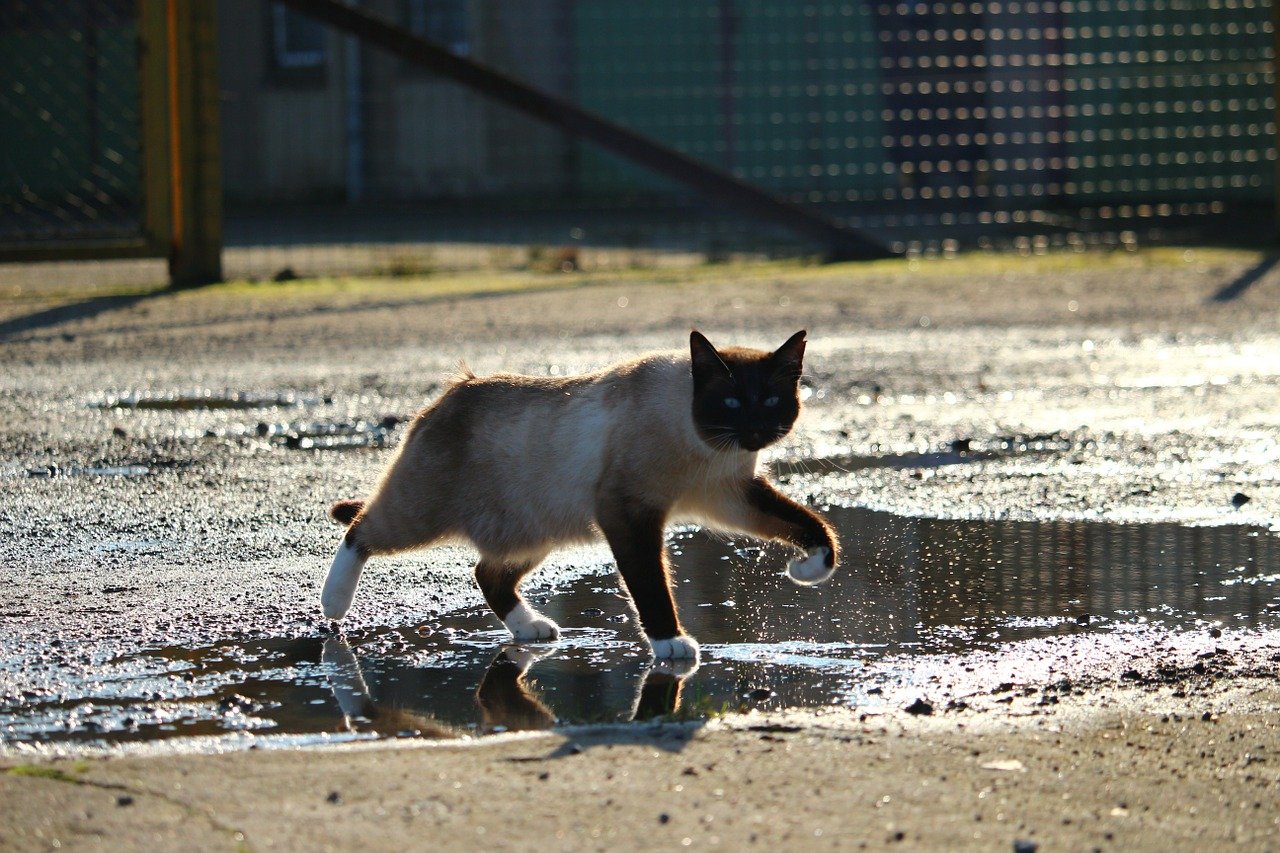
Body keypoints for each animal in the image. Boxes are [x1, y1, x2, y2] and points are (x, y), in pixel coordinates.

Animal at [320, 327, 839, 660]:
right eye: (730, 402)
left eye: (771, 401)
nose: (755, 431)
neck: (707, 450)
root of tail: (456, 386)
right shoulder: (628, 513)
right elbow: (651, 587)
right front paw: (670, 643)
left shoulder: (729, 496)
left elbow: (813, 529)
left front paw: (805, 570)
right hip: (421, 516)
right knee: (358, 531)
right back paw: (333, 605)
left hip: (534, 533)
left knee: (487, 574)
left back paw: (531, 628)